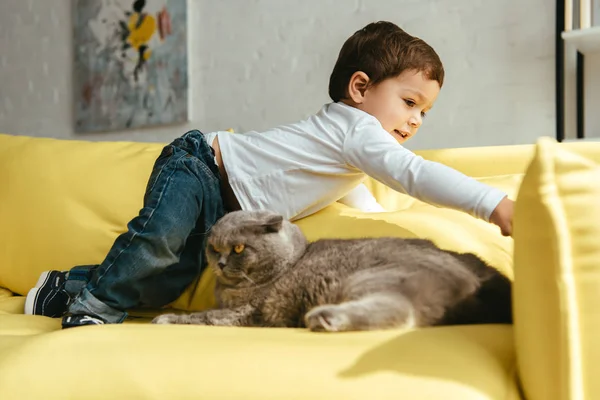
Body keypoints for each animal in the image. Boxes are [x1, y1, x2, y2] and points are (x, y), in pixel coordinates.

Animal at [152, 209, 512, 332]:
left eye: (238, 249)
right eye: (213, 248)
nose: (221, 262)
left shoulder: (246, 312)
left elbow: (202, 317)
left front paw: (165, 318)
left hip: (373, 277)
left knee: (399, 311)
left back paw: (324, 318)